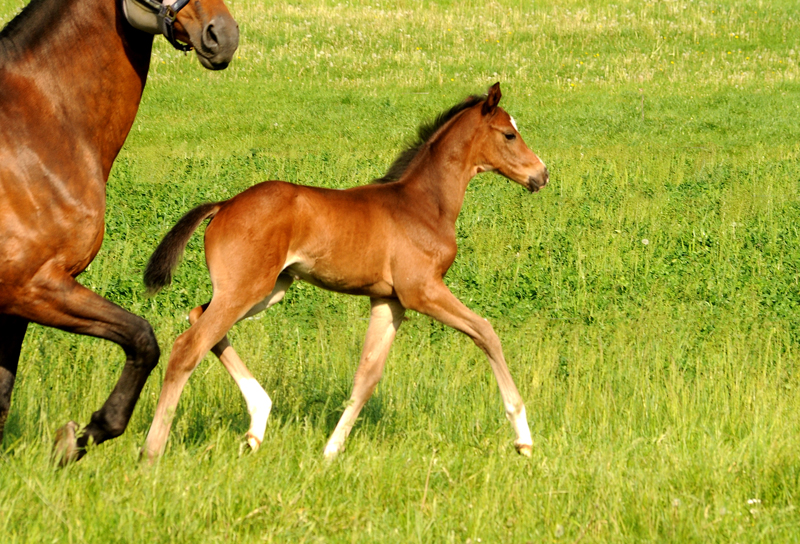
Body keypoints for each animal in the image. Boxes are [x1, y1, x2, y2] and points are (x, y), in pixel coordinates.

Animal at [141, 84, 548, 460]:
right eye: (509, 134)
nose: (541, 174)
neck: (423, 205)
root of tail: (224, 205)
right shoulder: (422, 290)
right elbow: (486, 332)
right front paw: (523, 438)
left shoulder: (389, 301)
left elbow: (367, 375)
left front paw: (330, 450)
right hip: (246, 289)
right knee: (187, 347)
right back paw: (153, 449)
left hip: (268, 290)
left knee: (198, 317)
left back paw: (258, 422)